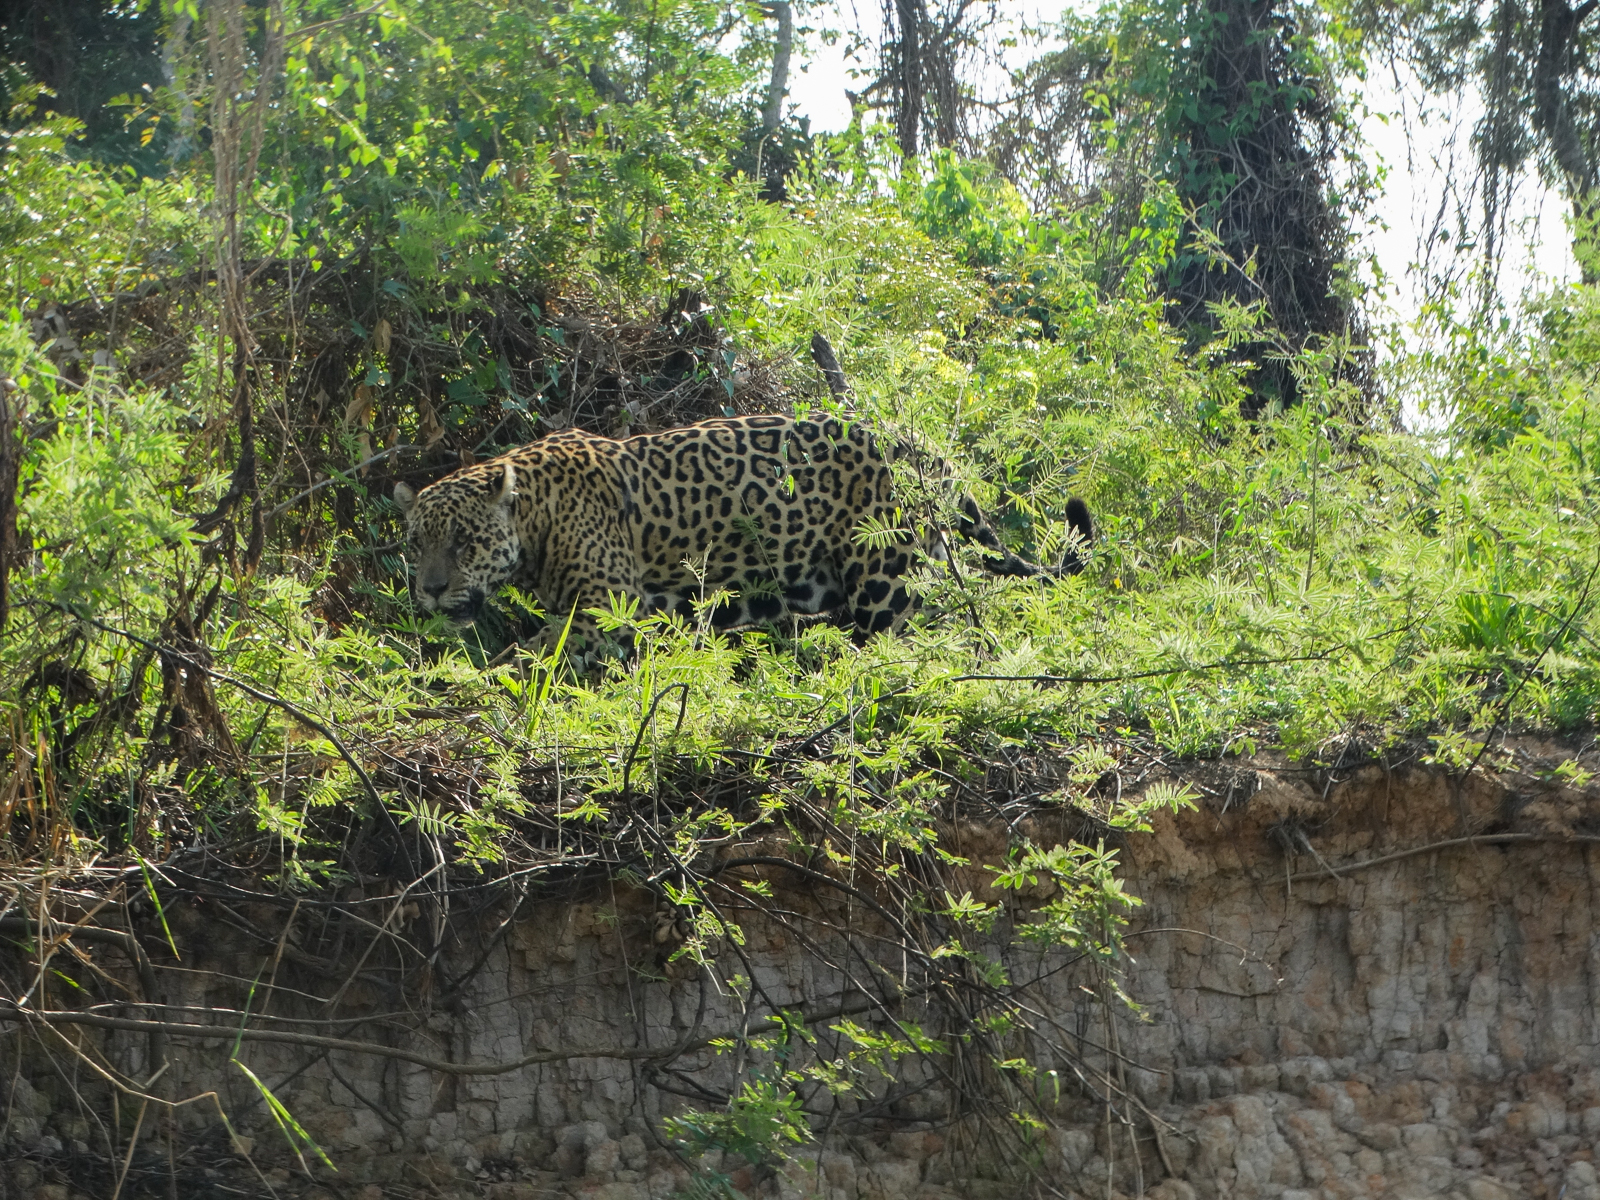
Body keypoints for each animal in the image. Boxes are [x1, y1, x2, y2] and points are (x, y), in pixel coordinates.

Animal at [392, 414, 1092, 659]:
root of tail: (912, 439)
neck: (538, 515)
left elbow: (529, 657)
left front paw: (468, 682)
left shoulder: (604, 610)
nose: (429, 591)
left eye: (463, 543)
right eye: (418, 545)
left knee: (907, 641)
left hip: (882, 580)